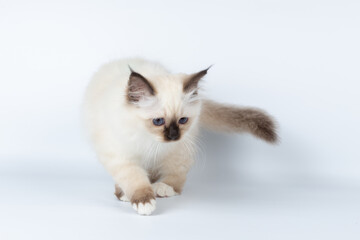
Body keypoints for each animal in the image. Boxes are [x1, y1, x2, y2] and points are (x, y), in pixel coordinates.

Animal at [83, 58, 278, 216]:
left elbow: (176, 175)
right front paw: (144, 201)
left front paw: (163, 189)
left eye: (183, 120)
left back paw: (159, 187)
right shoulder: (121, 156)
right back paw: (124, 193)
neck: (150, 141)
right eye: (158, 121)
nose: (173, 136)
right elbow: (134, 178)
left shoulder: (180, 149)